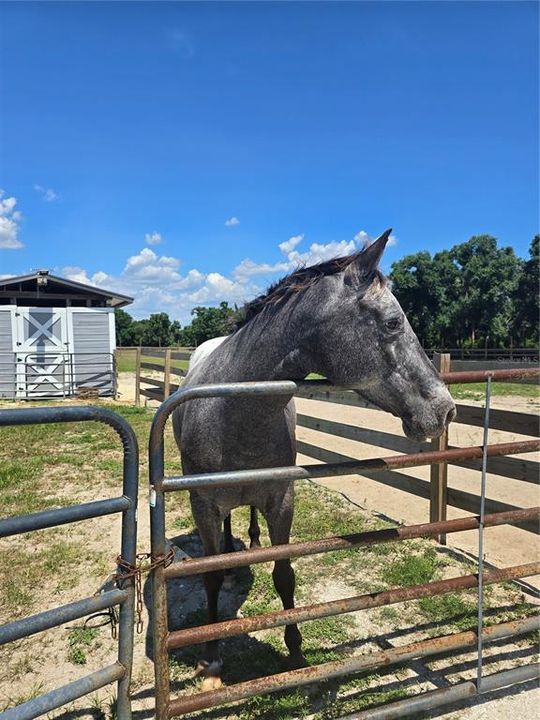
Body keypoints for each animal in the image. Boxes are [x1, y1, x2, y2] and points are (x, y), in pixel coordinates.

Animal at [173, 231, 456, 688]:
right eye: (393, 323)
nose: (446, 409)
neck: (231, 411)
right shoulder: (202, 504)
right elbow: (211, 577)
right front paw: (211, 662)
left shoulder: (282, 500)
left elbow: (284, 574)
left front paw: (295, 652)